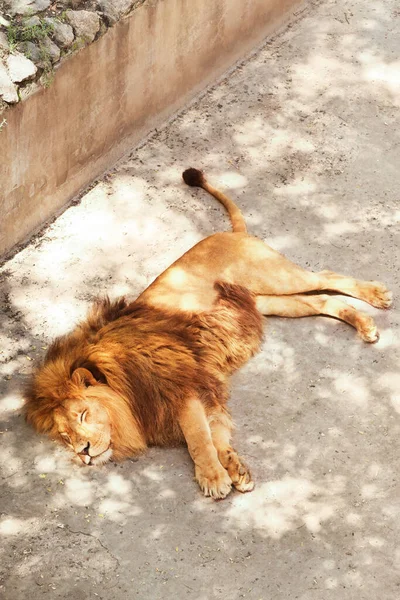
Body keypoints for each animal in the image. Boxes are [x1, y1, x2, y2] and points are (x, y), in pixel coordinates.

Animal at [25, 166, 394, 500]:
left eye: (84, 414)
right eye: (65, 436)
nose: (84, 452)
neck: (123, 385)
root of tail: (230, 233)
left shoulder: (178, 383)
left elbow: (197, 438)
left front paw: (213, 478)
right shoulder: (197, 384)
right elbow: (213, 431)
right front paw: (234, 468)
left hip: (273, 276)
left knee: (327, 276)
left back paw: (377, 296)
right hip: (265, 302)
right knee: (322, 299)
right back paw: (364, 324)